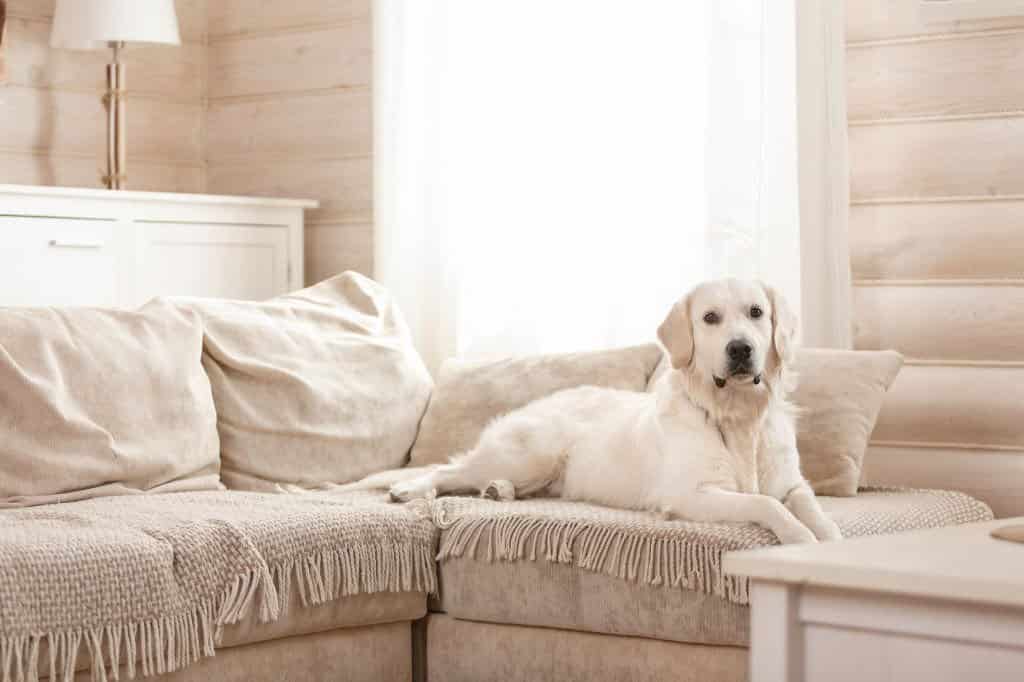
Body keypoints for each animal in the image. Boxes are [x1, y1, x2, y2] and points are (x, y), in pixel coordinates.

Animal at [344, 276, 839, 540]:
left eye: (756, 312)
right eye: (710, 318)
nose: (741, 350)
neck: (737, 416)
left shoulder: (792, 482)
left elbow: (807, 502)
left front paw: (827, 534)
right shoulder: (691, 495)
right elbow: (766, 504)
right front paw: (798, 535)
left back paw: (497, 492)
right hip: (531, 452)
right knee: (448, 470)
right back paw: (411, 489)